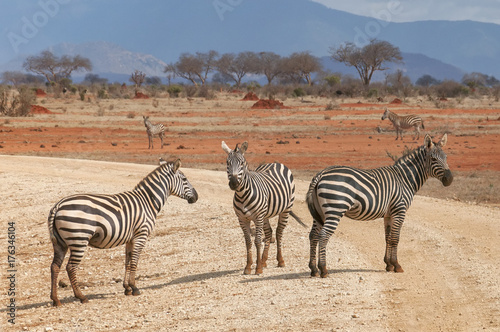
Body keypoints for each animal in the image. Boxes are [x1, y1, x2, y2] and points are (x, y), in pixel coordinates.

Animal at [47, 158, 197, 306]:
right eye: (184, 179)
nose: (196, 196)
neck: (148, 201)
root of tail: (58, 205)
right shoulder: (141, 235)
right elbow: (135, 261)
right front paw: (135, 288)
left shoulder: (130, 238)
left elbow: (127, 261)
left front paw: (127, 288)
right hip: (79, 239)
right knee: (71, 267)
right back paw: (81, 297)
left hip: (60, 242)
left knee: (55, 266)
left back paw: (55, 299)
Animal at [222, 140, 306, 274]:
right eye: (227, 163)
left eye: (242, 163)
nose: (234, 183)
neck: (242, 195)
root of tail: (275, 163)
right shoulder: (242, 219)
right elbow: (248, 242)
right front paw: (248, 266)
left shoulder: (258, 217)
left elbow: (257, 241)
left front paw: (258, 268)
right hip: (265, 215)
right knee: (269, 233)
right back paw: (264, 260)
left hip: (285, 209)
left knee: (278, 233)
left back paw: (280, 261)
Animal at [304, 134, 454, 278]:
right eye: (433, 159)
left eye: (446, 157)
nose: (450, 179)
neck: (404, 179)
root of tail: (321, 174)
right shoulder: (399, 211)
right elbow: (395, 238)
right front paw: (396, 265)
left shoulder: (389, 215)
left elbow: (388, 238)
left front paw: (388, 264)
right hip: (335, 210)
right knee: (323, 235)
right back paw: (323, 269)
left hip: (320, 213)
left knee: (313, 235)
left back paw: (314, 269)